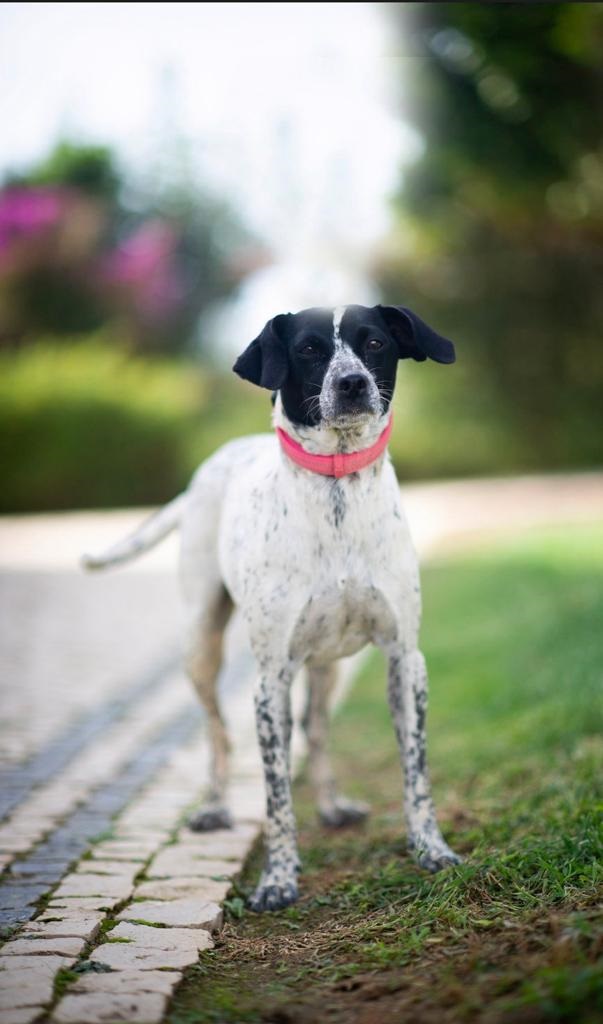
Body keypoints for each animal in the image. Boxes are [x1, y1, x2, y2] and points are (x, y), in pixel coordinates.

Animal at [83, 303, 462, 911]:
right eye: (308, 349)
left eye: (375, 343)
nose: (351, 382)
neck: (337, 491)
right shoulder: (270, 680)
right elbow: (277, 794)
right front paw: (278, 879)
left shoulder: (405, 660)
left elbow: (416, 772)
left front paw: (431, 849)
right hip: (201, 645)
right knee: (218, 732)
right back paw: (215, 807)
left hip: (330, 667)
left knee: (317, 729)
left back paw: (331, 805)